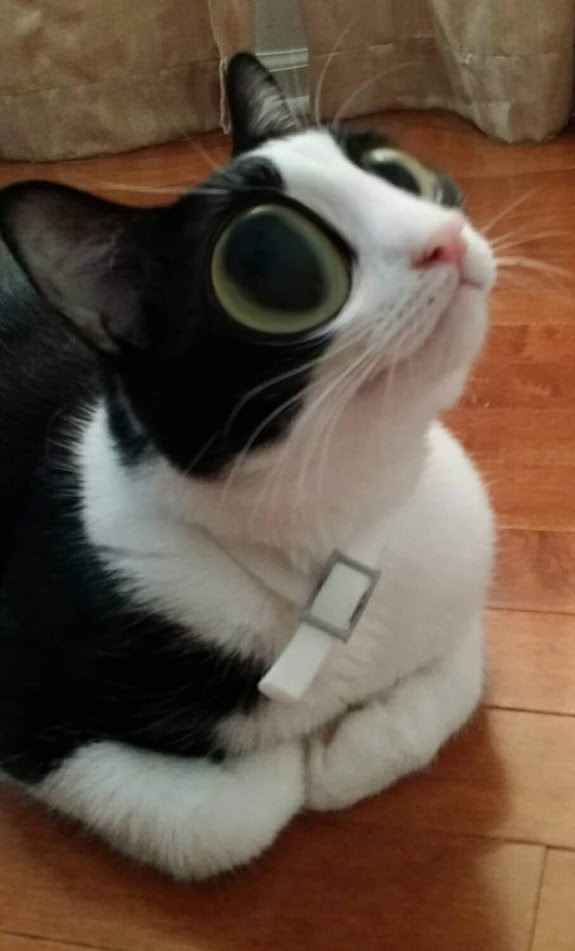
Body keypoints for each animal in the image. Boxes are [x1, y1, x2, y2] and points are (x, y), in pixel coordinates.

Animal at [0, 52, 495, 880]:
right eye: (273, 266)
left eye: (395, 173)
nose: (445, 237)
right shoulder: (25, 708)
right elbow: (233, 814)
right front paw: (291, 754)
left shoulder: (454, 551)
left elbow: (463, 665)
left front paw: (348, 747)